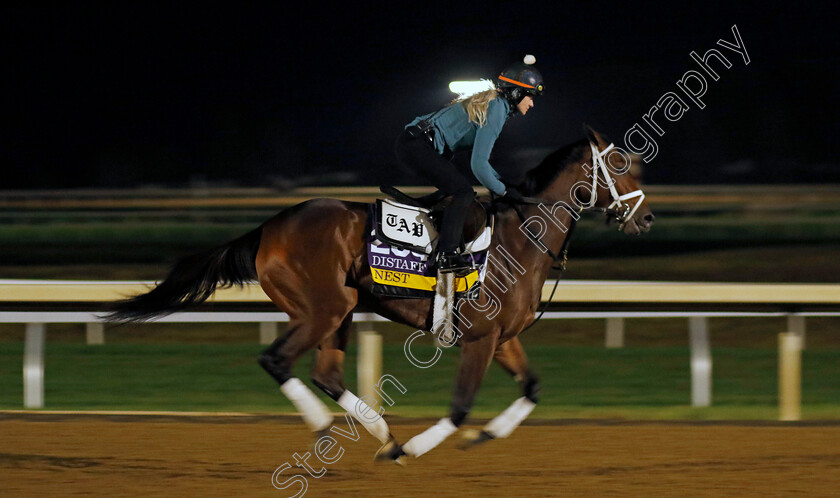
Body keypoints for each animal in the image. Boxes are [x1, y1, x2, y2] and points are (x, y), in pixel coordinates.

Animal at [106, 127, 656, 462]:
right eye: (621, 163)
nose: (647, 218)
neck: (522, 237)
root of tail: (268, 227)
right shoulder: (479, 338)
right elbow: (460, 405)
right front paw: (420, 447)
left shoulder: (503, 337)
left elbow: (533, 387)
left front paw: (483, 435)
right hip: (325, 308)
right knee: (276, 360)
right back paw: (331, 428)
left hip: (342, 310)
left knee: (326, 373)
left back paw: (382, 436)